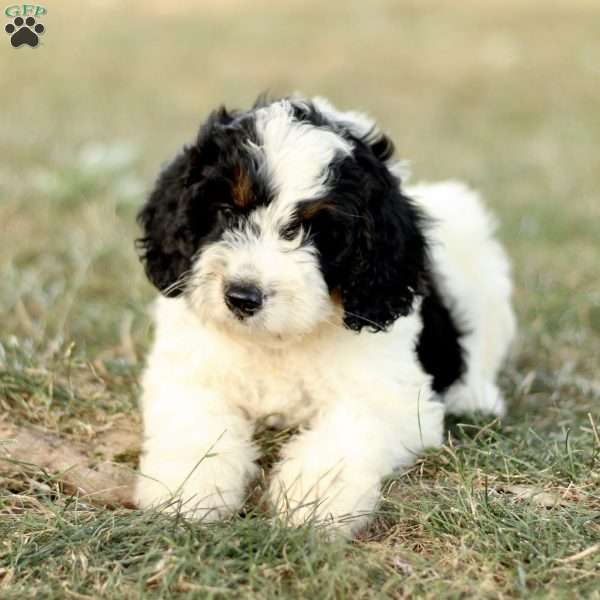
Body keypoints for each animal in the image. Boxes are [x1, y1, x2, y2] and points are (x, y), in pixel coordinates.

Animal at [135, 96, 516, 536]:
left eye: (314, 229)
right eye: (227, 210)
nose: (242, 297)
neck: (278, 342)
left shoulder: (392, 393)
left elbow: (349, 430)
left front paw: (314, 499)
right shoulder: (189, 371)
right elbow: (196, 423)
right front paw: (185, 487)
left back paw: (476, 398)